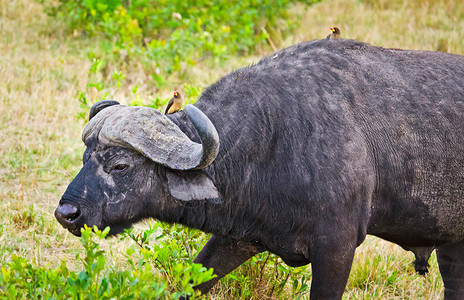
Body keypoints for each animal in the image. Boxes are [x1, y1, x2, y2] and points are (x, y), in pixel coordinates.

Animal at [56, 39, 464, 298]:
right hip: (453, 248)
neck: (272, 138)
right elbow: (190, 282)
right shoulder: (239, 237)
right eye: (85, 157)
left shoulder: (337, 247)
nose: (66, 213)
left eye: (120, 165)